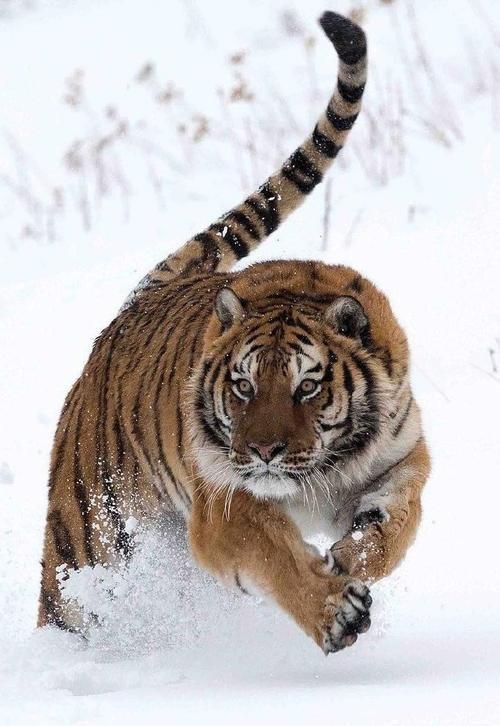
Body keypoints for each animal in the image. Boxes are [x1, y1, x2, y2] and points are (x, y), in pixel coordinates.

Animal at [38, 11, 430, 655]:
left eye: (307, 387)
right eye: (243, 386)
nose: (264, 451)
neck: (317, 472)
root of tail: (137, 301)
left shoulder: (399, 461)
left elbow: (392, 528)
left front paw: (349, 560)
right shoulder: (222, 502)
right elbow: (274, 555)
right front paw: (334, 610)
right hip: (89, 539)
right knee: (66, 604)